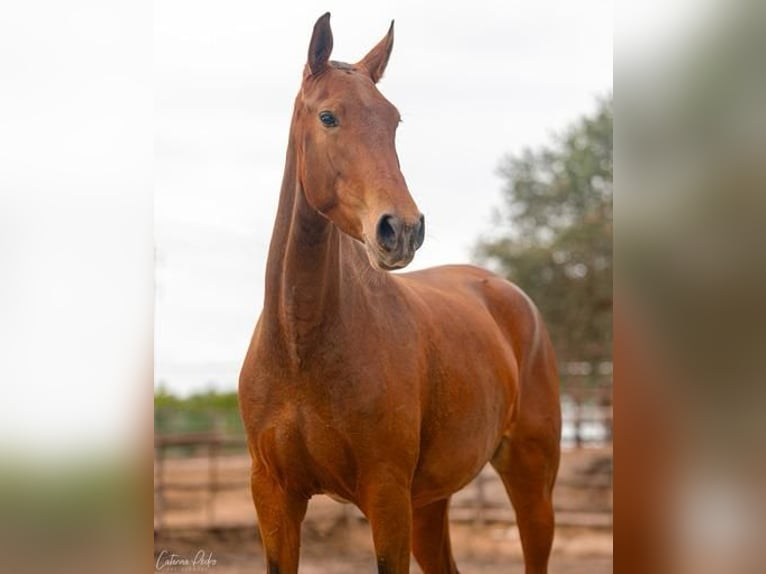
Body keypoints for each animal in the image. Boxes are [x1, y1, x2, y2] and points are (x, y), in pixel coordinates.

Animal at [240, 13, 564, 574]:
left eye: (393, 122)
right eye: (328, 117)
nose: (403, 229)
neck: (301, 350)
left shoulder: (386, 496)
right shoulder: (274, 497)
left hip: (530, 480)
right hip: (431, 502)